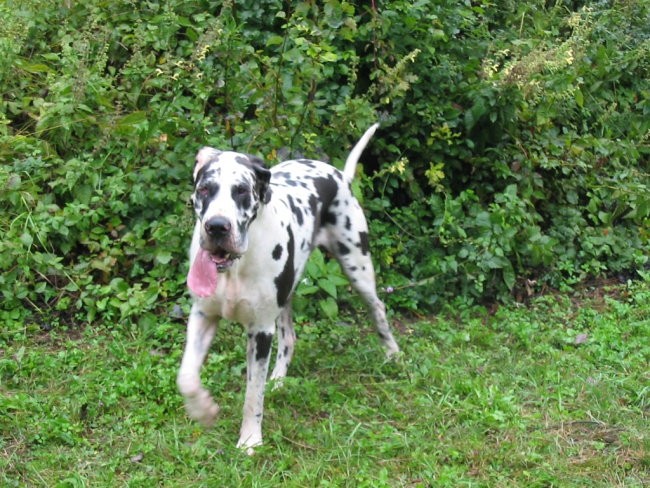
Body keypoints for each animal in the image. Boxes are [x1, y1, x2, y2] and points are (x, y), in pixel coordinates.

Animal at [175, 124, 398, 452]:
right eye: (204, 189)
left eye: (242, 190)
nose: (216, 226)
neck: (235, 268)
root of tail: (339, 175)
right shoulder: (203, 316)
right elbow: (186, 377)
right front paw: (202, 409)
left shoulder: (260, 331)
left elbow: (252, 395)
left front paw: (250, 439)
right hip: (285, 294)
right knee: (290, 337)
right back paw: (279, 379)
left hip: (357, 267)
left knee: (378, 308)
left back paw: (393, 354)